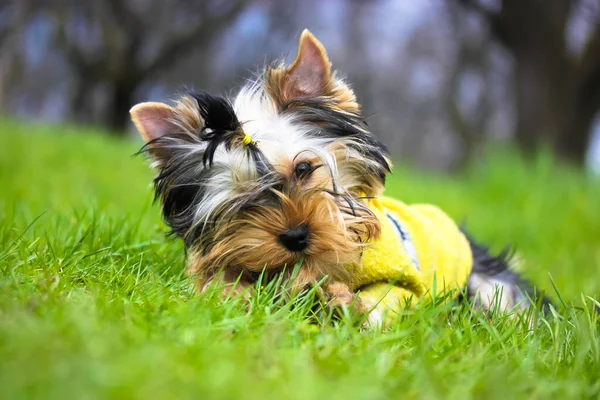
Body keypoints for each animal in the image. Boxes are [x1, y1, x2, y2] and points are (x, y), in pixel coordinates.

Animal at [131, 29, 548, 324]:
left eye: (303, 169)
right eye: (243, 197)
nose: (295, 236)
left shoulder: (406, 283)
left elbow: (387, 299)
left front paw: (346, 306)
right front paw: (231, 294)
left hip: (487, 284)